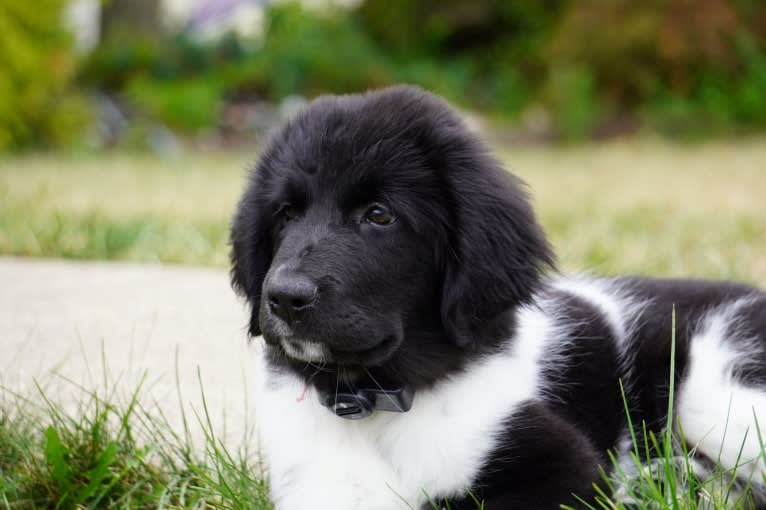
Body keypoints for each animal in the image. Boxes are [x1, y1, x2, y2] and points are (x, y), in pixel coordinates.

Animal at [232, 85, 766, 508]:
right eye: (285, 214)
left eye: (379, 215)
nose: (283, 297)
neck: (376, 400)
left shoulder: (562, 467)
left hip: (718, 396)